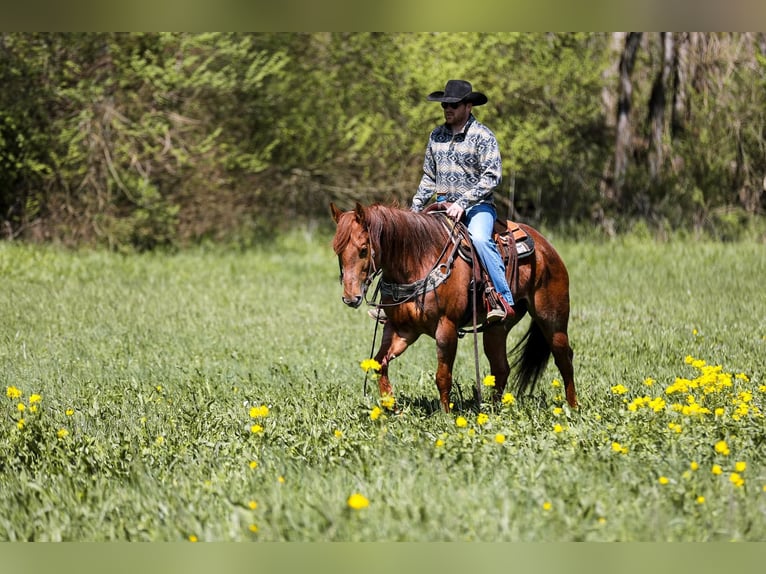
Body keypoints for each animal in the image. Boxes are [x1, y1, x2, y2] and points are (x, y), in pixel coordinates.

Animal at [330, 202, 576, 414]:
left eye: (363, 249)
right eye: (337, 251)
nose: (350, 298)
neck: (418, 261)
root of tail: (546, 247)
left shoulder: (446, 327)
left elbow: (442, 376)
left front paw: (446, 416)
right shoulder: (402, 329)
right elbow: (379, 363)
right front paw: (392, 408)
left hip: (552, 318)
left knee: (564, 358)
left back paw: (573, 407)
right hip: (498, 327)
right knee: (501, 367)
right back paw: (495, 411)